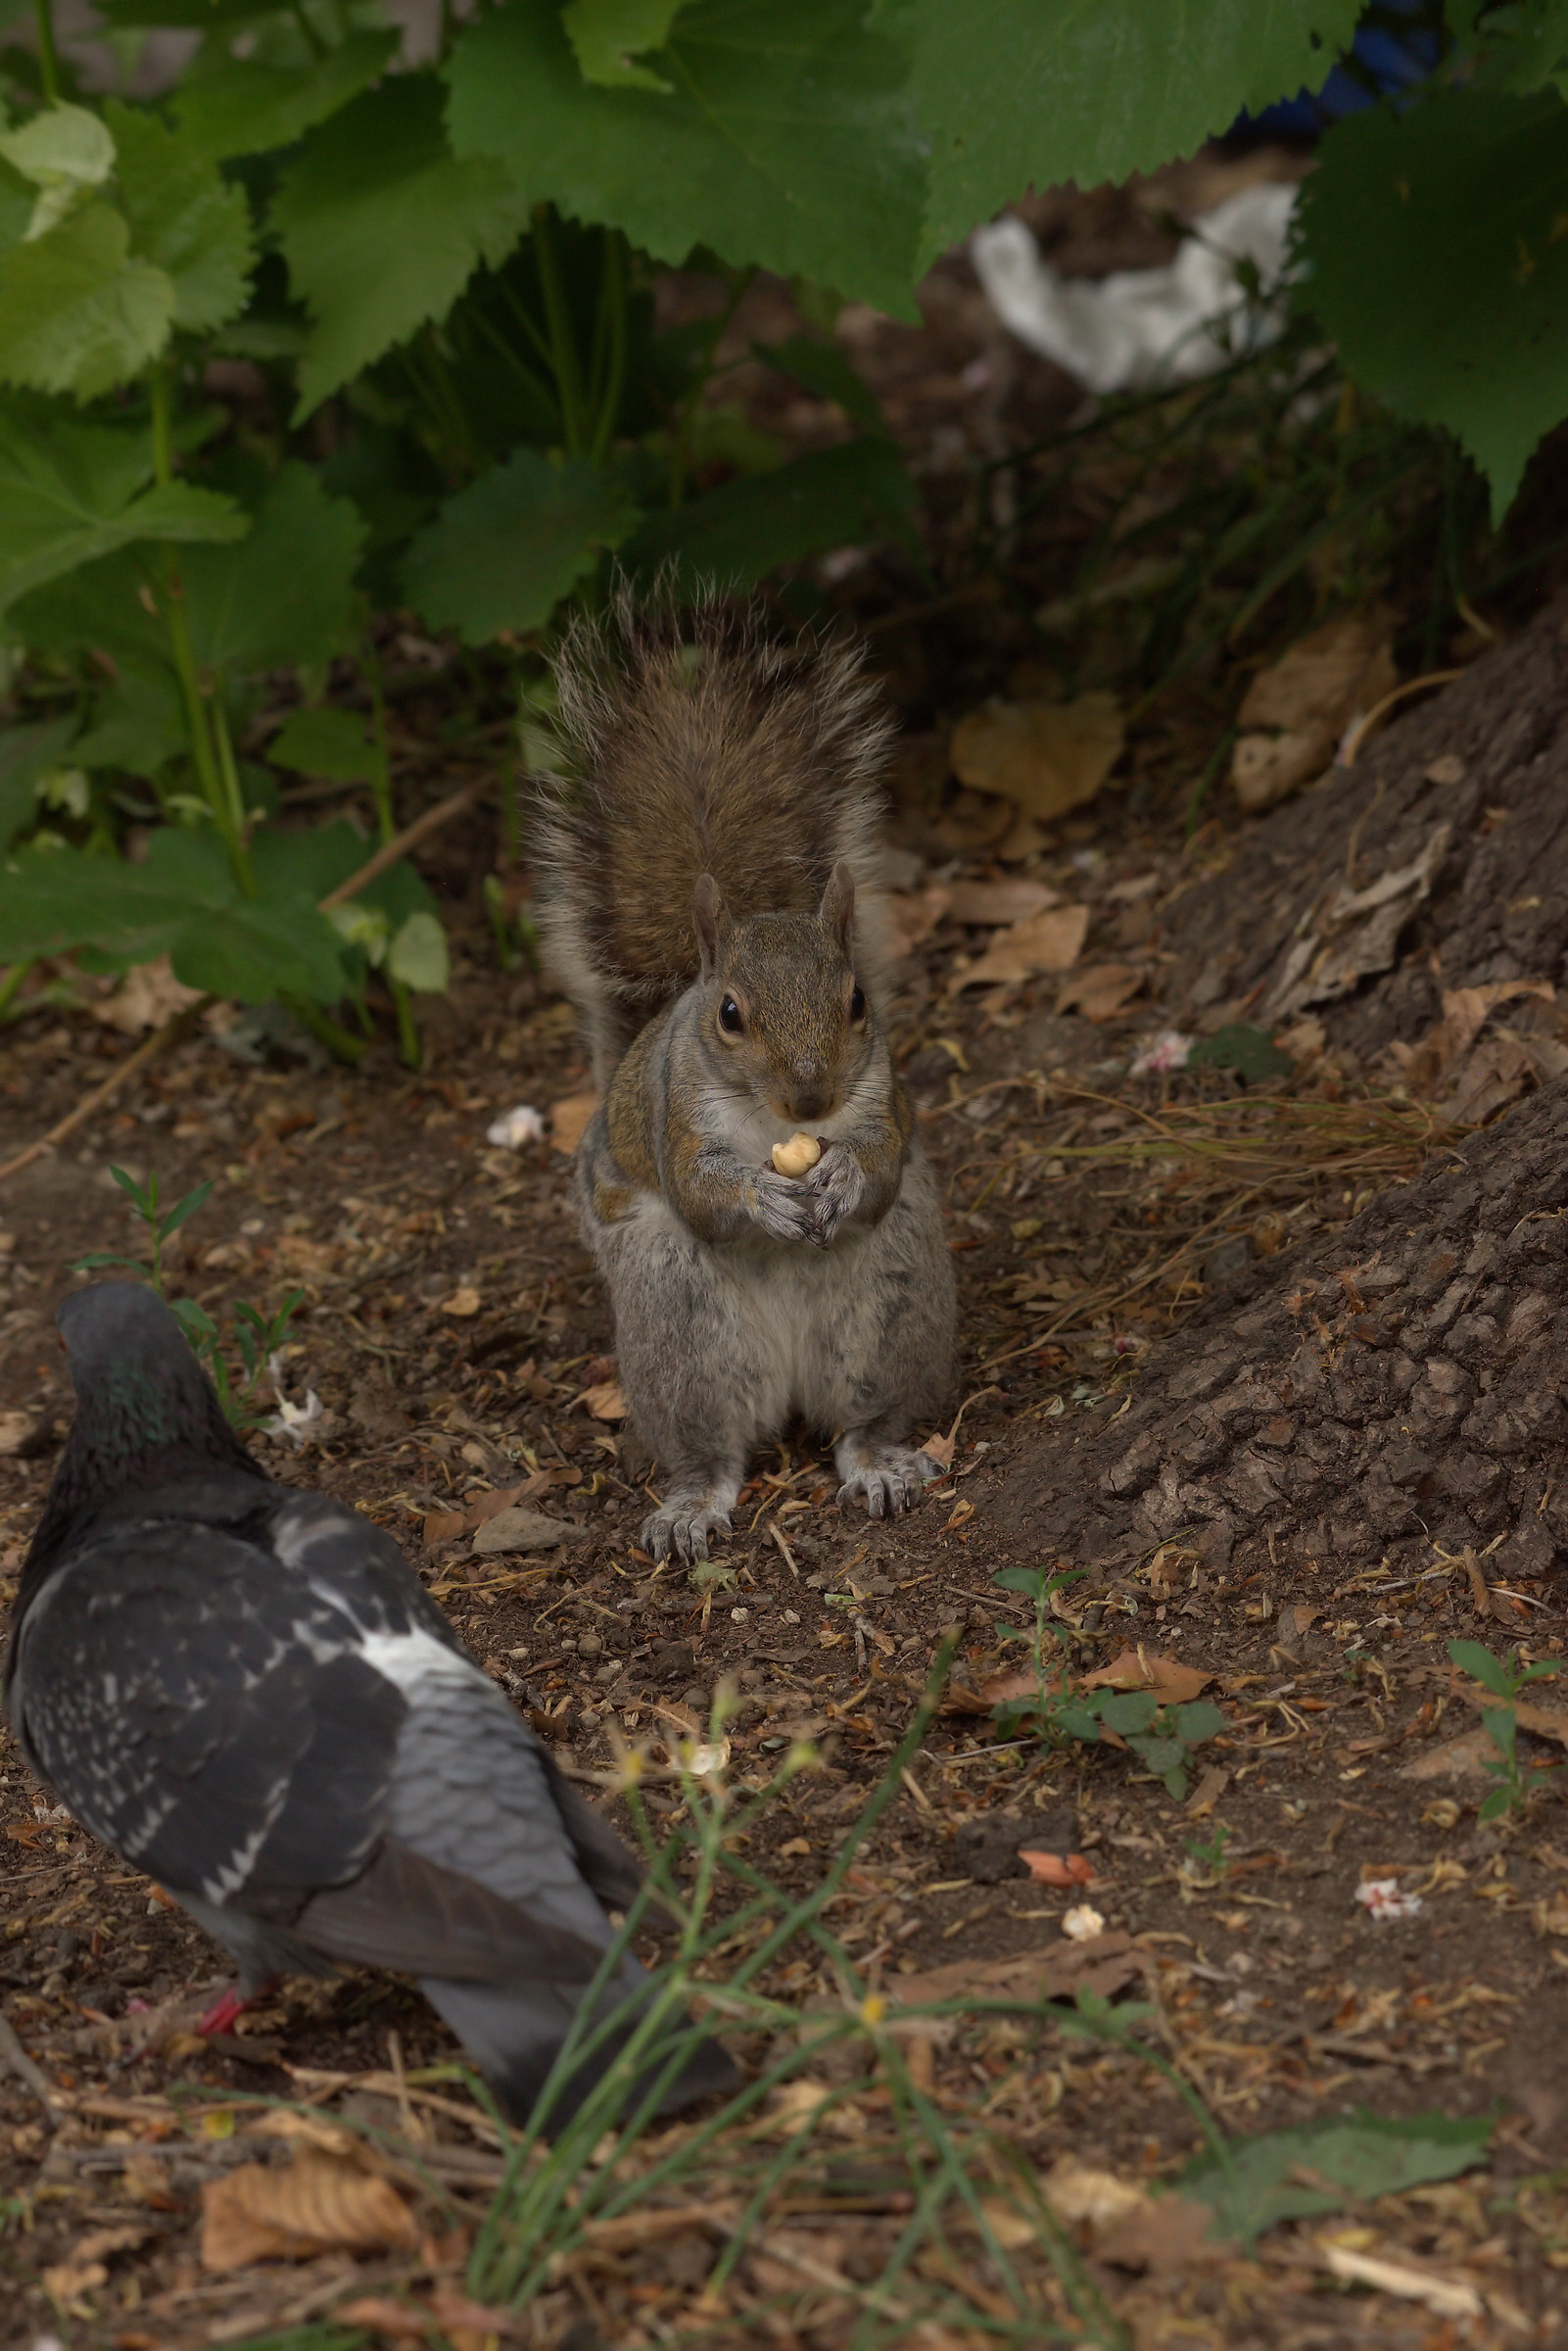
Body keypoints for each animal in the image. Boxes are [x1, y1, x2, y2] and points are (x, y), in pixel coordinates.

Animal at [533, 593, 956, 1565]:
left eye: (856, 1001)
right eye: (728, 1014)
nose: (812, 1098)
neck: (774, 1124)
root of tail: (792, 1387)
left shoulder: (884, 1100)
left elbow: (881, 1166)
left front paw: (840, 1175)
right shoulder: (674, 1119)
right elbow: (700, 1191)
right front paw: (761, 1197)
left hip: (893, 1304)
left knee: (862, 1421)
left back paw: (879, 1463)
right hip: (678, 1326)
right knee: (711, 1449)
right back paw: (693, 1505)